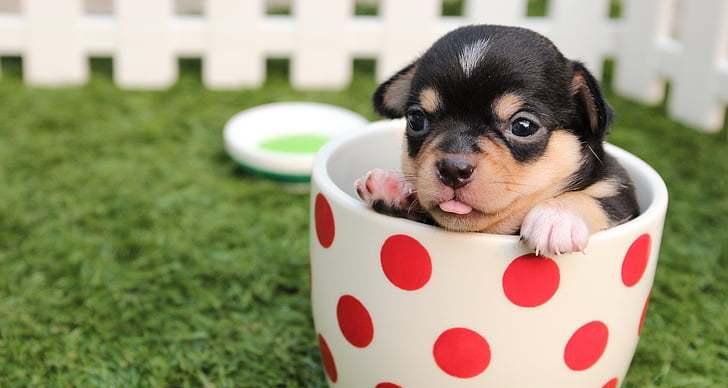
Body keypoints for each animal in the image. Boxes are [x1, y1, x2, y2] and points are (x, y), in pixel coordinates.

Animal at [356, 24, 636, 255]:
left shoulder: (620, 193)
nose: (453, 169)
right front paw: (391, 186)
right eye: (416, 119)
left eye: (523, 126)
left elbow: (599, 199)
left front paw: (556, 217)